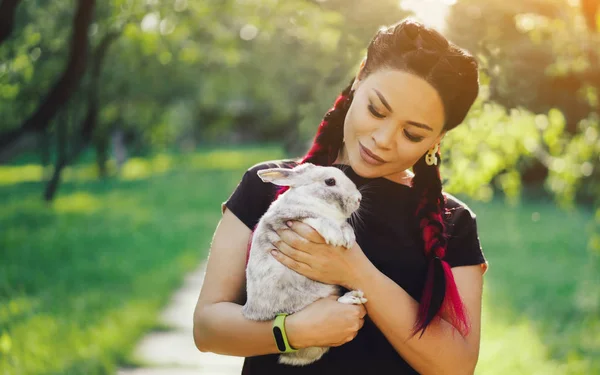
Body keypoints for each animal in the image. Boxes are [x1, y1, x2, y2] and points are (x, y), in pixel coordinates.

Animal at [241, 163, 368, 366]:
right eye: (330, 181)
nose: (358, 199)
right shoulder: (292, 218)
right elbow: (318, 219)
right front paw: (336, 237)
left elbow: (345, 226)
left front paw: (348, 239)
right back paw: (352, 298)